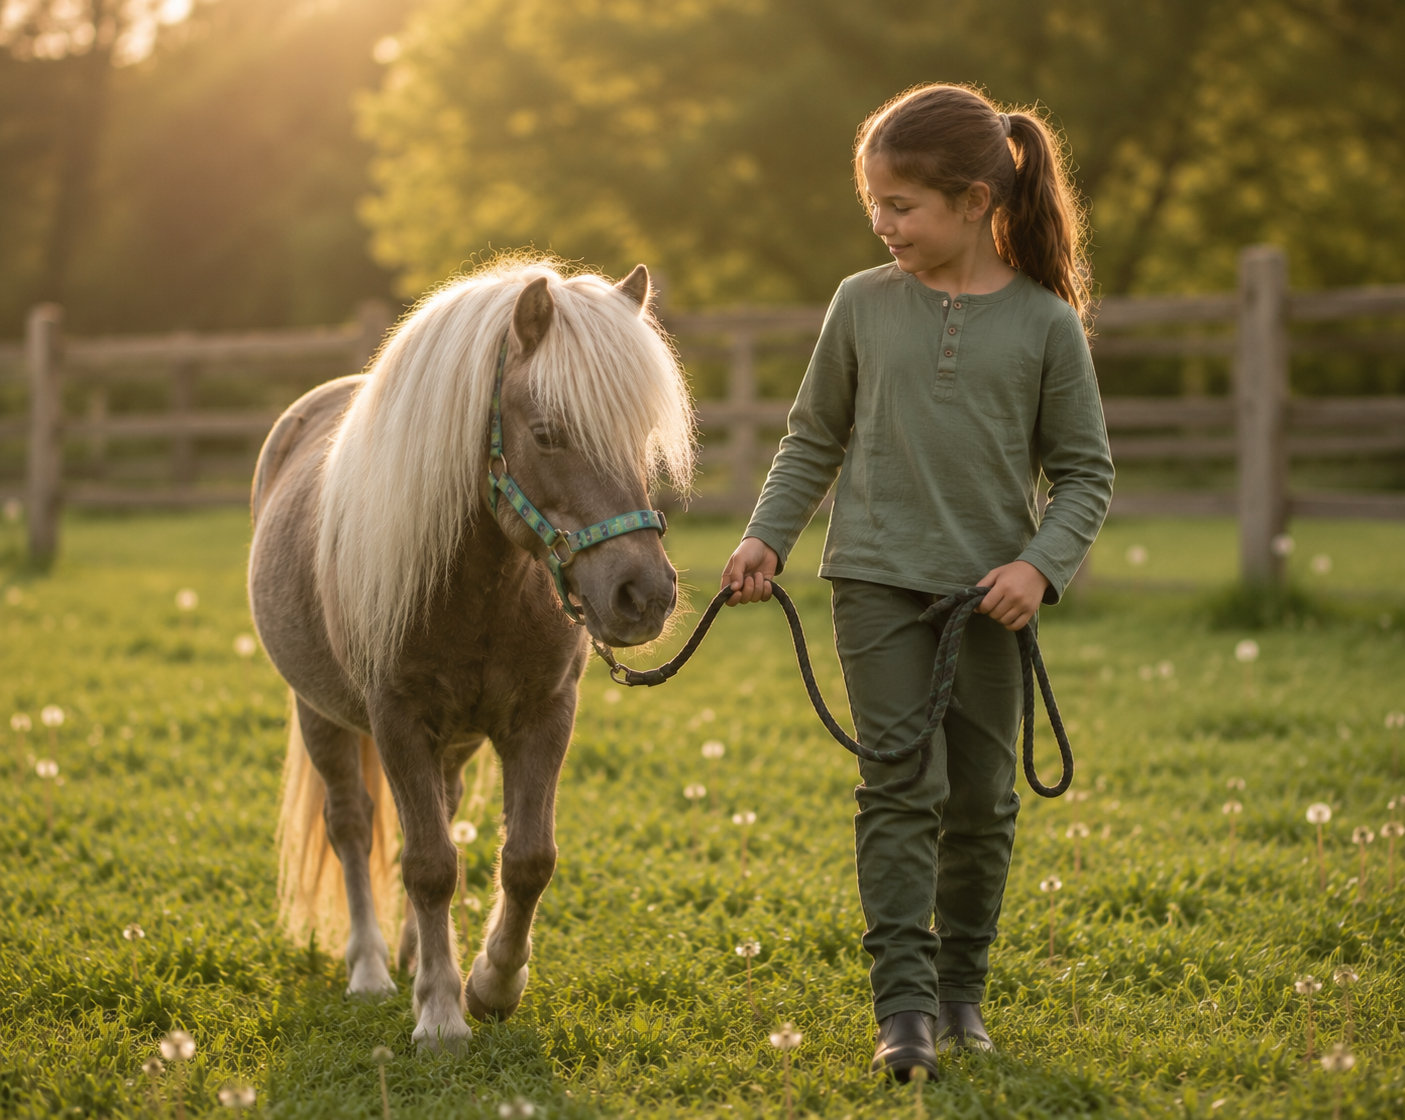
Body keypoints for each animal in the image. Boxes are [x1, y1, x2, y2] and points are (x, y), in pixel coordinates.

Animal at [247, 259, 695, 1052]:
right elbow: (428, 865)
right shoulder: (396, 721)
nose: (643, 595)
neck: (480, 584)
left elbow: (526, 860)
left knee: (437, 816)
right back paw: (371, 968)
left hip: (451, 742)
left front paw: (491, 982)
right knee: (353, 826)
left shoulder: (543, 715)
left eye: (641, 435)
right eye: (547, 432)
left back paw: (415, 955)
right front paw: (439, 1014)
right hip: (320, 715)